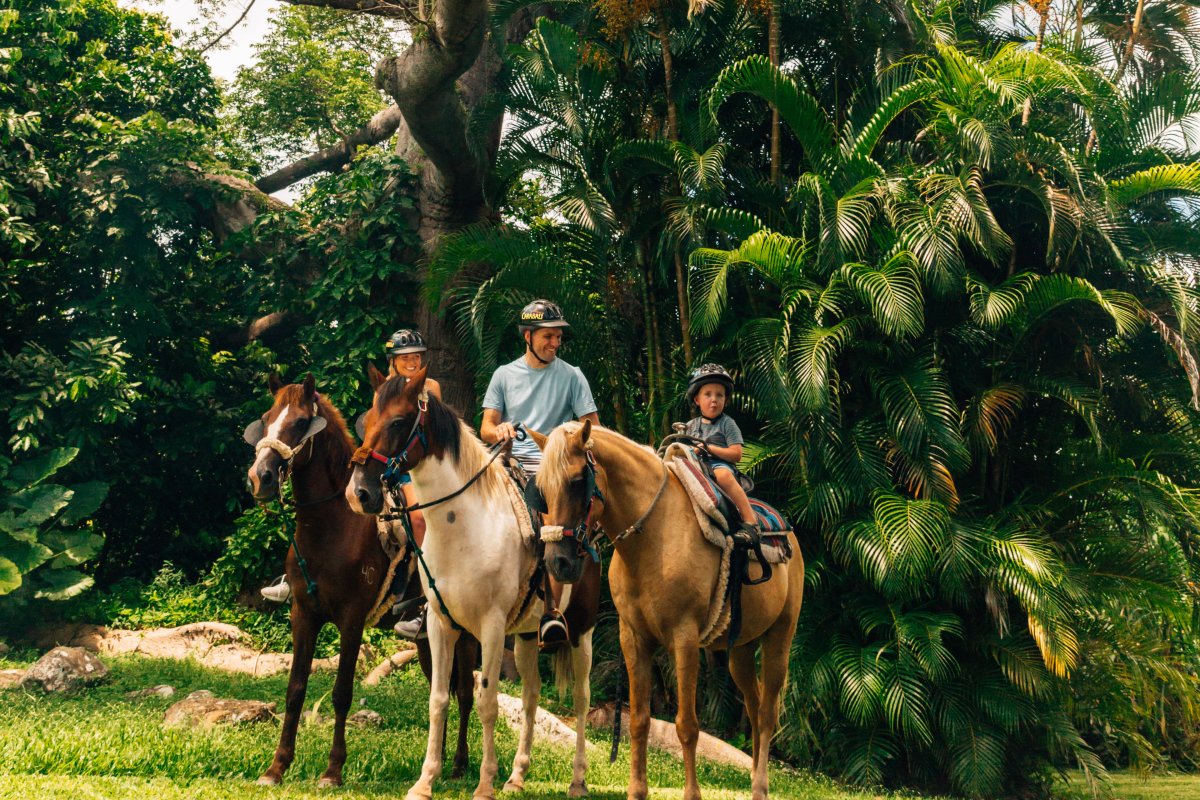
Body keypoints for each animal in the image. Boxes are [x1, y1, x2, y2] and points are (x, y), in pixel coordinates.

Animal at [244, 376, 477, 786]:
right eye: (268, 419)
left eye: (301, 423)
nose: (261, 477)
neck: (332, 527)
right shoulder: (303, 615)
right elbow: (295, 689)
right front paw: (277, 767)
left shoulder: (351, 620)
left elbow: (341, 693)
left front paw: (333, 770)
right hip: (427, 640)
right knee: (442, 689)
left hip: (461, 630)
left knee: (465, 692)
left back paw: (459, 764)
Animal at [345, 369, 597, 800]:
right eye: (369, 420)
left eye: (397, 422)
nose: (358, 493)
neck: (463, 525)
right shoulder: (440, 625)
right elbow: (439, 700)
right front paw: (425, 781)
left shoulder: (491, 628)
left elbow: (487, 701)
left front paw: (484, 783)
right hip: (527, 636)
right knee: (531, 696)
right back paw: (517, 776)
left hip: (581, 632)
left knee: (581, 699)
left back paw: (577, 780)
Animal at [535, 419, 806, 800]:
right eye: (541, 489)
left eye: (576, 481)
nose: (557, 562)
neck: (654, 535)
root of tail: (788, 532)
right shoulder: (633, 637)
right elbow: (639, 719)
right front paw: (636, 790)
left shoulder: (685, 638)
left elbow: (686, 725)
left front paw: (692, 793)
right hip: (740, 649)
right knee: (753, 709)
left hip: (780, 637)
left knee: (767, 713)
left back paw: (760, 787)